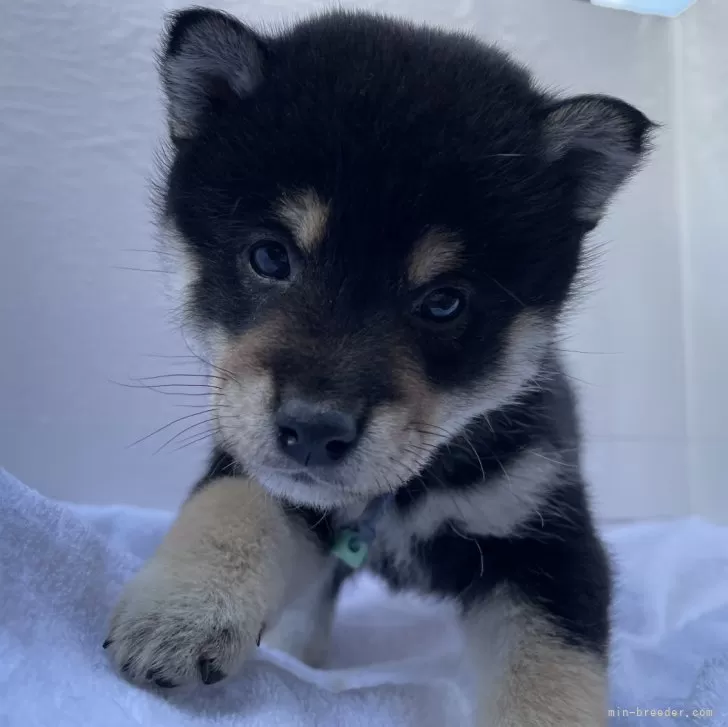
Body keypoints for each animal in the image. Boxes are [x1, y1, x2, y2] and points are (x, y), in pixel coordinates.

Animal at [104, 8, 656, 724]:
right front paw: (179, 611)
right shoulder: (258, 466)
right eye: (270, 257)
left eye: (445, 302)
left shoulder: (543, 538)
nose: (313, 430)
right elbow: (231, 510)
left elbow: (548, 675)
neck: (397, 495)